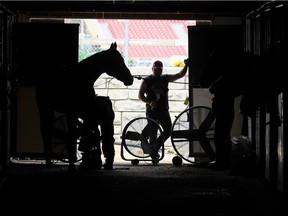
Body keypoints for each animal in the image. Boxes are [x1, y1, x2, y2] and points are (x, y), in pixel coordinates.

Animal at [35, 42, 134, 170]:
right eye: (117, 60)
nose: (130, 79)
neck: (81, 79)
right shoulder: (71, 113)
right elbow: (73, 135)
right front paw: (73, 165)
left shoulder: (87, 112)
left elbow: (89, 132)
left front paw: (88, 162)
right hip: (44, 108)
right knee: (45, 132)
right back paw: (48, 162)